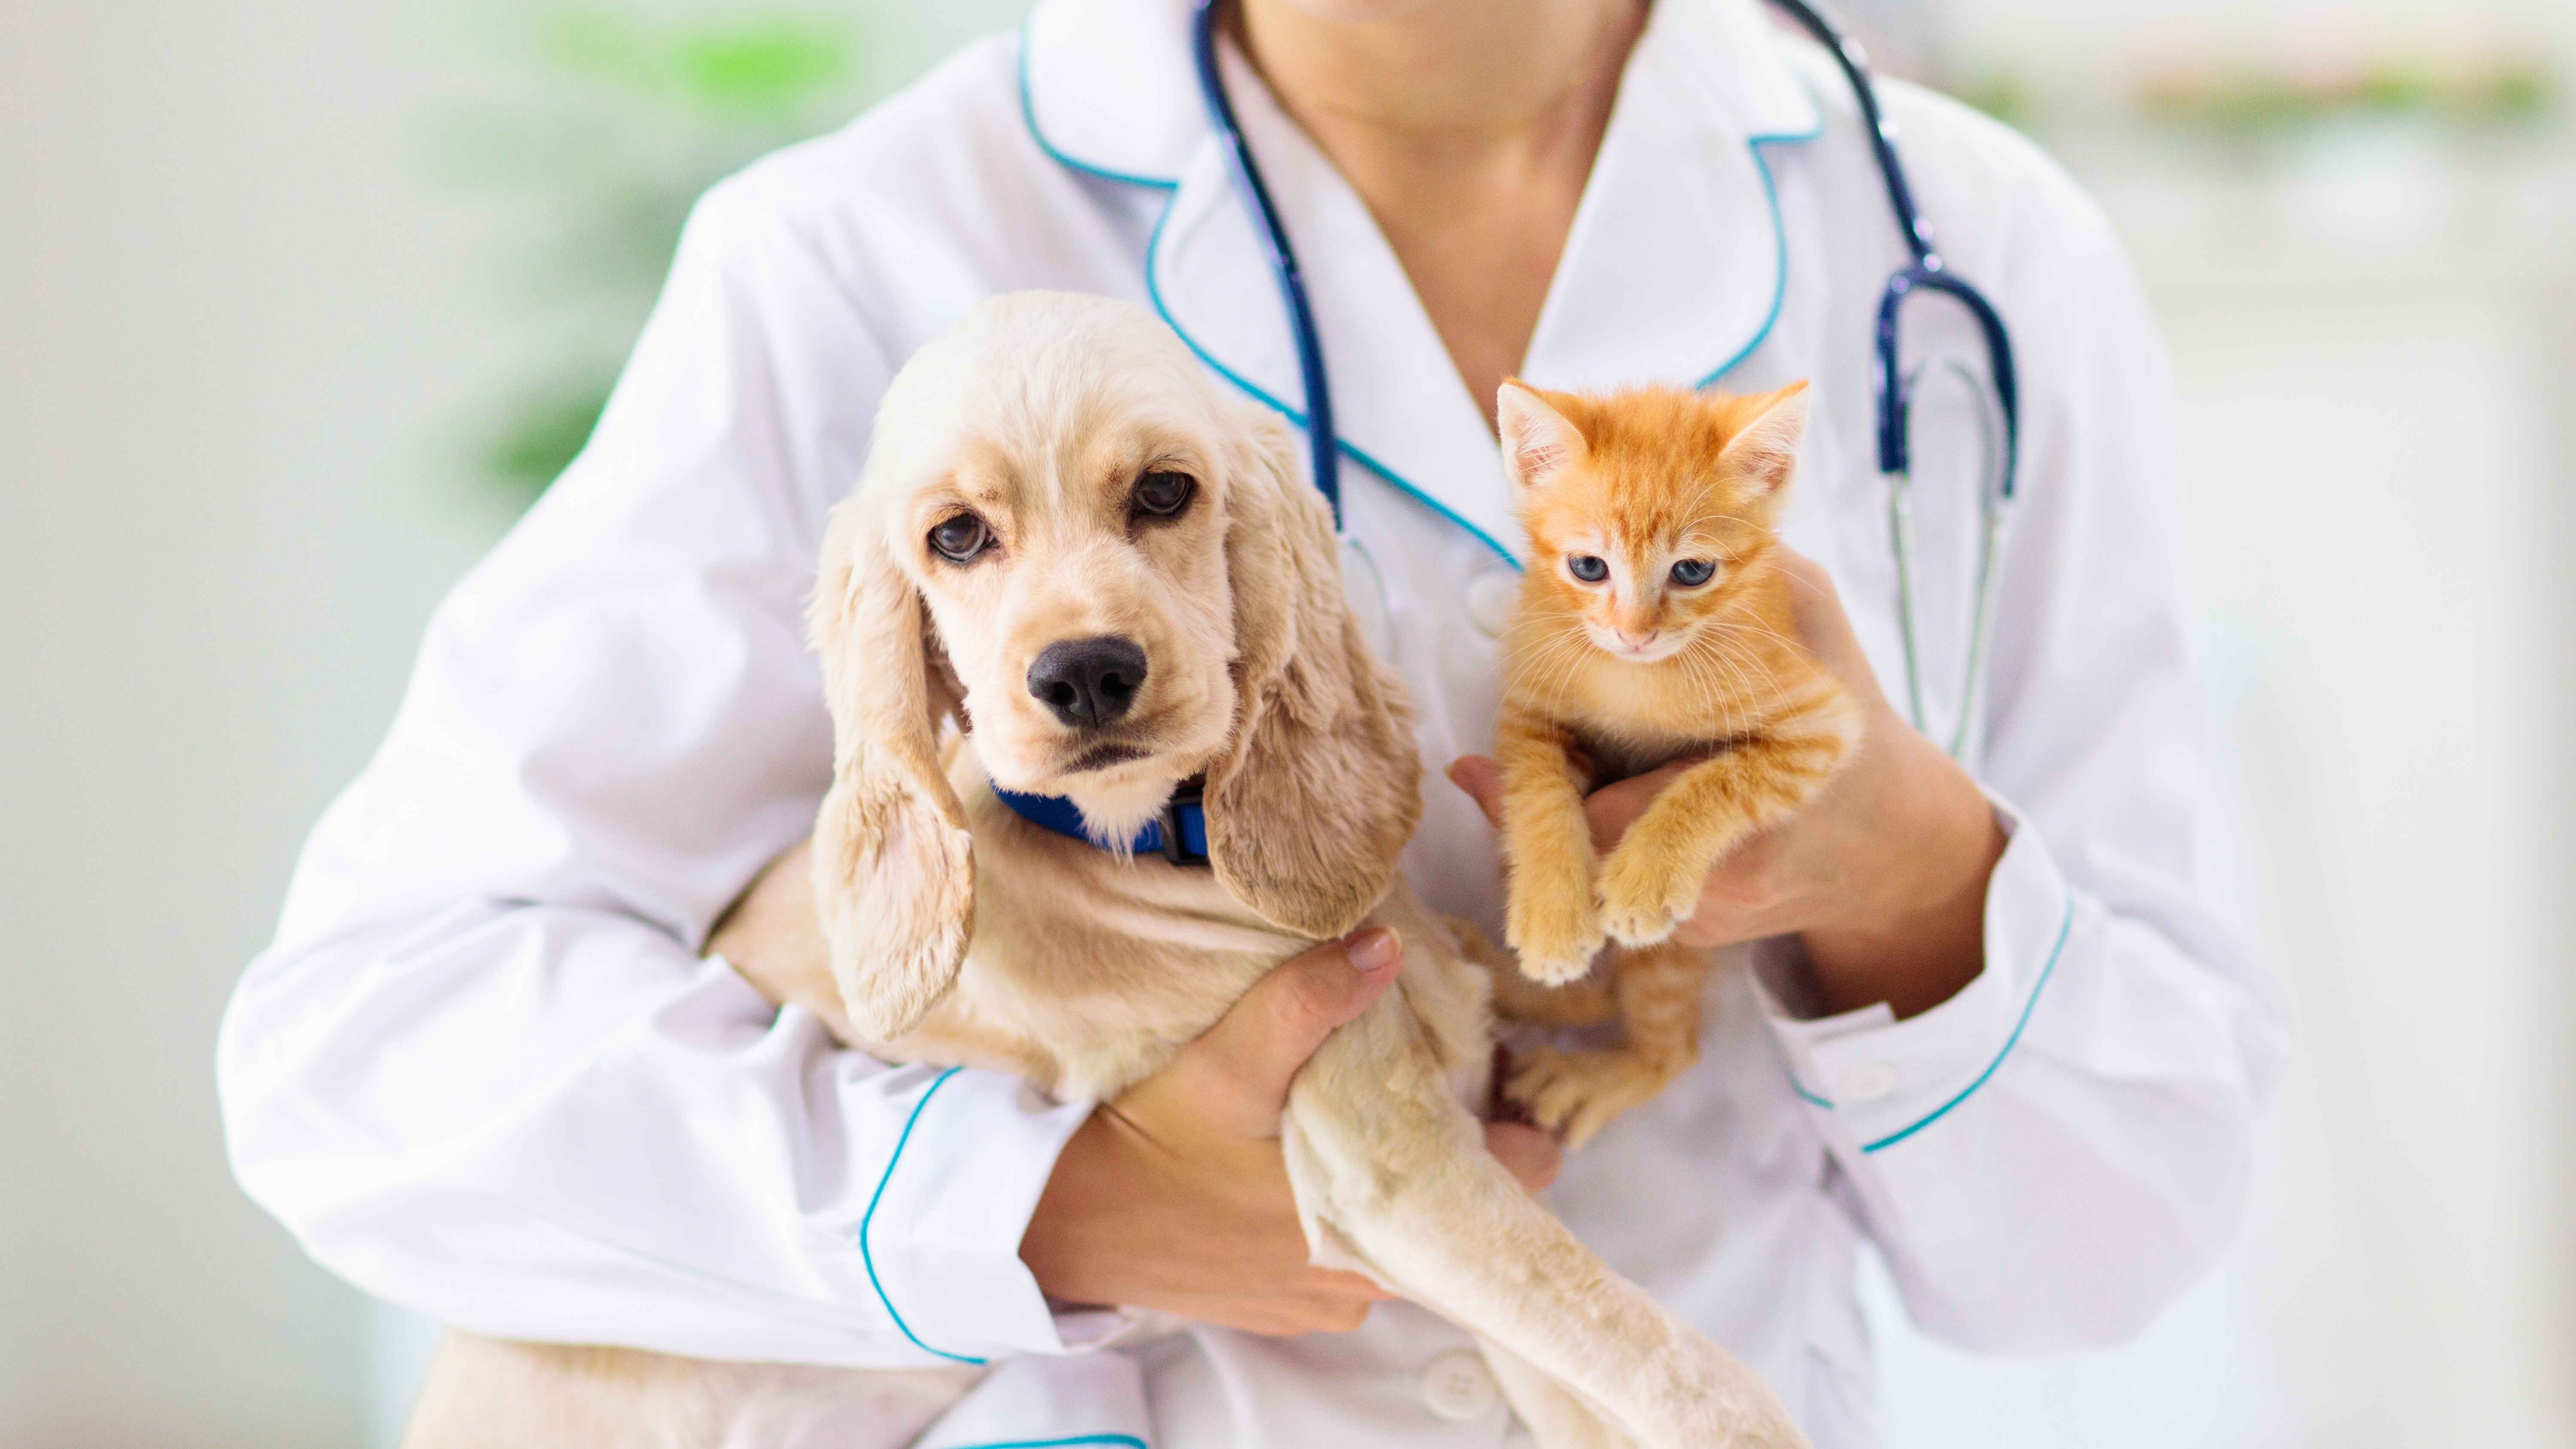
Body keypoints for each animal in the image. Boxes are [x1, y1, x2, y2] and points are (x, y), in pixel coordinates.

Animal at [407, 294, 1814, 1443]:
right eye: (958, 536)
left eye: (1163, 493)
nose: (1084, 673)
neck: (1167, 853)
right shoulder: (1387, 1167)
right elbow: (1680, 1370)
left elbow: (1607, 1373)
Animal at [1484, 379, 1865, 1145]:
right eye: (1588, 566)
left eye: (1692, 570)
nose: (1636, 634)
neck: (1638, 681)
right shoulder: (1529, 708)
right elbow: (1537, 793)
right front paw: (1552, 913)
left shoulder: (1821, 722)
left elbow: (1720, 779)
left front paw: (1647, 875)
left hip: (1674, 956)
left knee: (1671, 1045)